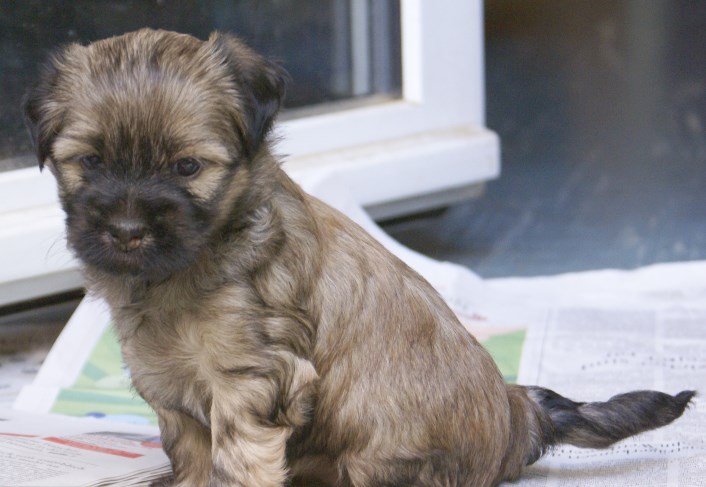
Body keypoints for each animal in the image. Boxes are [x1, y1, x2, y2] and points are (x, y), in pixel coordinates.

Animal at [24, 29, 695, 486]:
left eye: (187, 167)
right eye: (90, 162)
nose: (127, 230)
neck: (186, 267)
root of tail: (518, 413)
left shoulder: (253, 381)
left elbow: (237, 462)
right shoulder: (171, 388)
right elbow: (191, 457)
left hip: (384, 455)